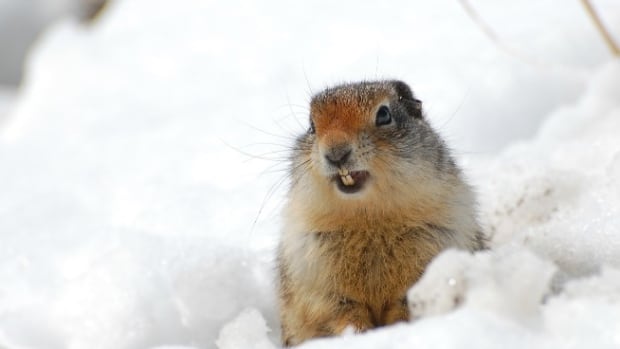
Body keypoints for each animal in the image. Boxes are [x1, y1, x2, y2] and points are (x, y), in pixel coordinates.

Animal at [276, 80, 484, 344]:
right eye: (311, 126)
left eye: (384, 114)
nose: (336, 152)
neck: (369, 219)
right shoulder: (317, 278)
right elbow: (340, 312)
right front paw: (357, 334)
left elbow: (405, 305)